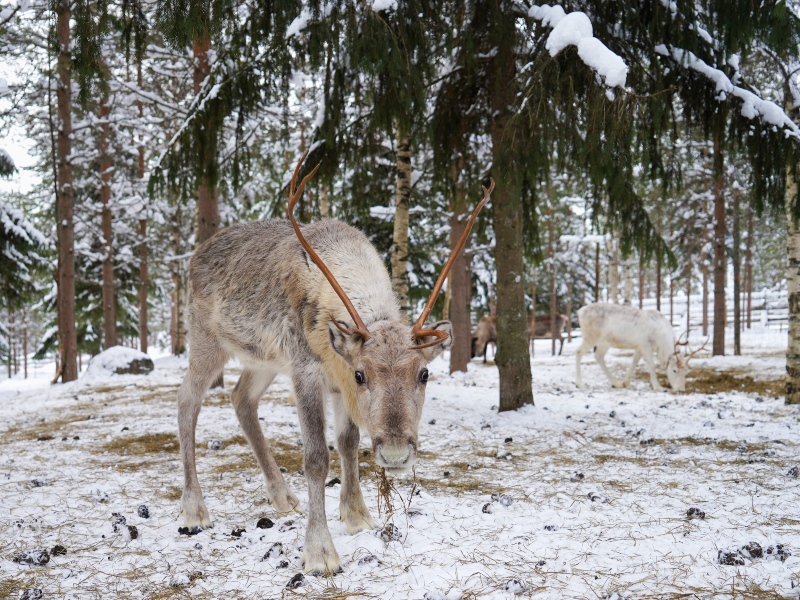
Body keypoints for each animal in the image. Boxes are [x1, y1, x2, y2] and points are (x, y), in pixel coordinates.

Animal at [177, 151, 493, 575]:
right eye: (362, 374)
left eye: (424, 373)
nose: (396, 454)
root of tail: (195, 256)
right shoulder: (308, 371)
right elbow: (315, 458)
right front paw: (319, 552)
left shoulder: (333, 382)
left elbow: (348, 443)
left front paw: (357, 515)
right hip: (206, 340)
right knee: (187, 401)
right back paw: (194, 508)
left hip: (264, 360)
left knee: (241, 398)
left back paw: (282, 497)